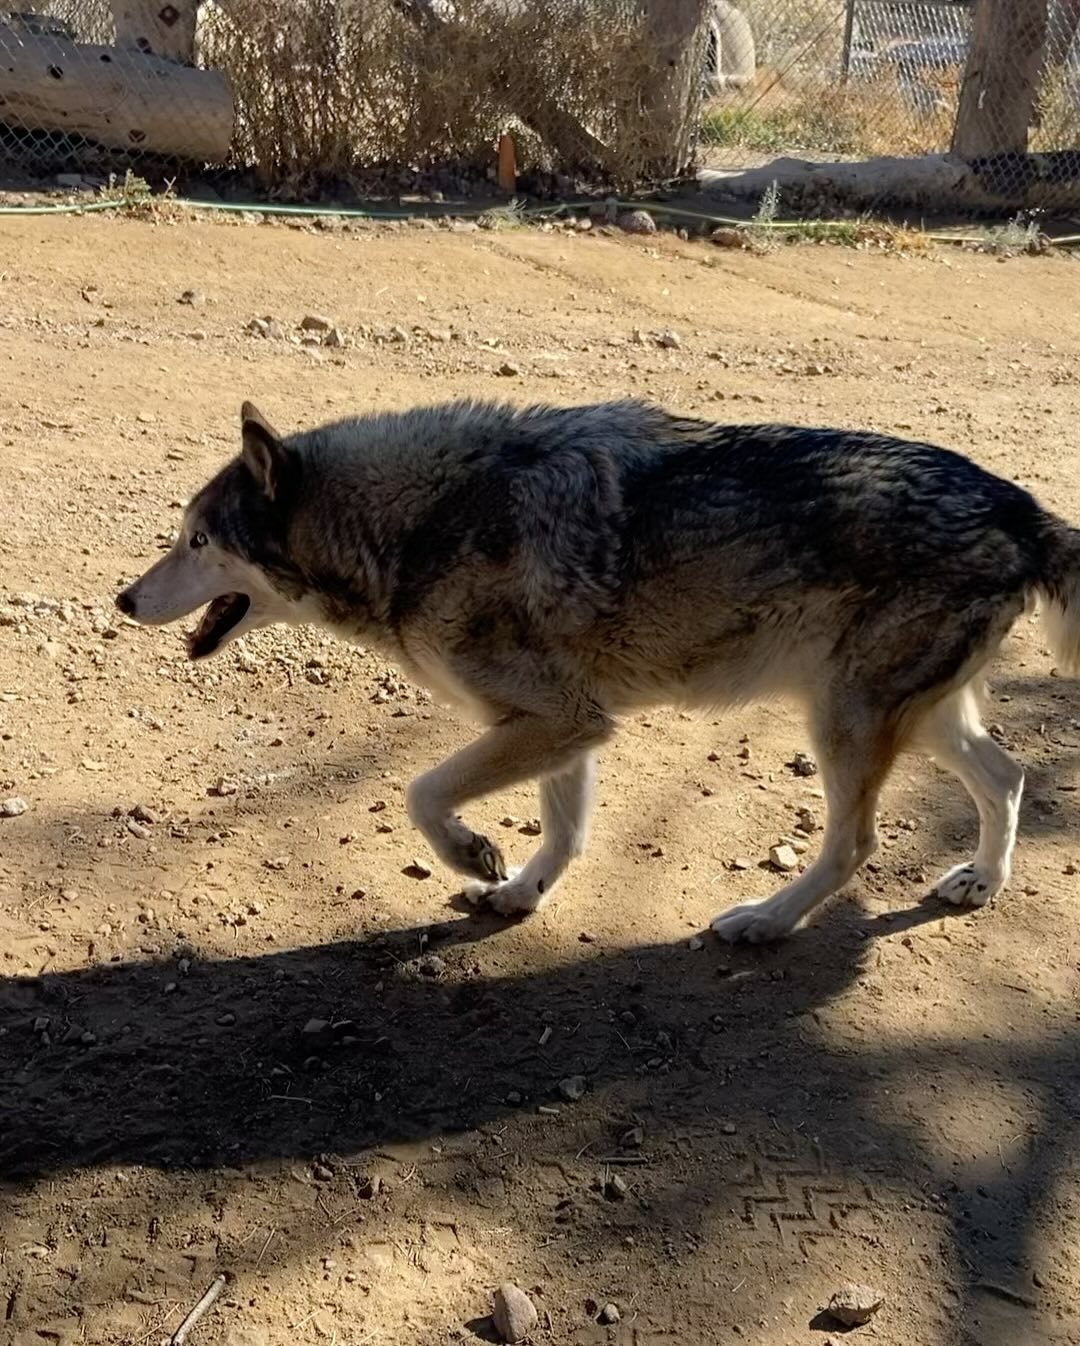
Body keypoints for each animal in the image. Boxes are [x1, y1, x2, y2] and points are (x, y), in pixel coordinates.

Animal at [117, 398, 1077, 942]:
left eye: (196, 541)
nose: (123, 600)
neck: (420, 526)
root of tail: (1022, 507)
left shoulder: (555, 720)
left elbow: (422, 793)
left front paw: (471, 853)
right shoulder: (567, 726)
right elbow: (565, 833)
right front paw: (516, 894)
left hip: (846, 723)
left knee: (855, 846)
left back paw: (765, 923)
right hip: (913, 717)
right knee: (1008, 777)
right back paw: (982, 882)